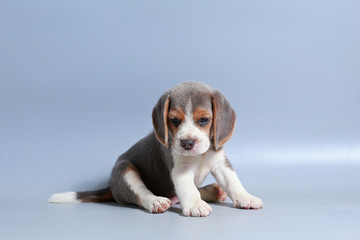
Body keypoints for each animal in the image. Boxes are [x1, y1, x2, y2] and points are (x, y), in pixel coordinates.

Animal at [48, 81, 262, 217]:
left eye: (204, 120)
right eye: (174, 120)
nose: (187, 143)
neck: (200, 155)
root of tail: (110, 186)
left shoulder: (221, 164)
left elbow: (234, 183)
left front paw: (246, 198)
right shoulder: (180, 170)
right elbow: (189, 189)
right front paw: (195, 205)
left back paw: (213, 191)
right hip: (125, 170)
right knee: (141, 194)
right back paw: (156, 202)